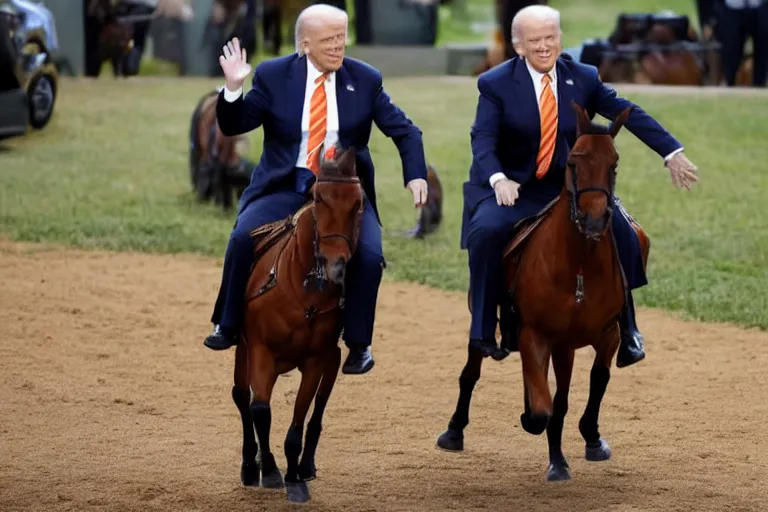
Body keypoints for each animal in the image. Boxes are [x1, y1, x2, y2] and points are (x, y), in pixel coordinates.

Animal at [230, 145, 364, 504]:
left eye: (359, 203)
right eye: (318, 199)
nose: (336, 265)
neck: (305, 295)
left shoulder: (317, 359)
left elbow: (300, 419)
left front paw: (293, 477)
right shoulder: (260, 350)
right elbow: (259, 408)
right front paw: (268, 469)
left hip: (331, 358)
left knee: (319, 407)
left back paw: (305, 465)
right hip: (243, 352)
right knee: (241, 397)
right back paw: (250, 464)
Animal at [438, 102, 648, 482]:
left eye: (614, 164)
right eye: (573, 162)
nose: (595, 219)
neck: (578, 266)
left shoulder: (600, 336)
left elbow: (589, 384)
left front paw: (580, 445)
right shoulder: (537, 334)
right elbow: (542, 410)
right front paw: (534, 424)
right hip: (485, 319)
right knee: (472, 371)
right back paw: (454, 430)